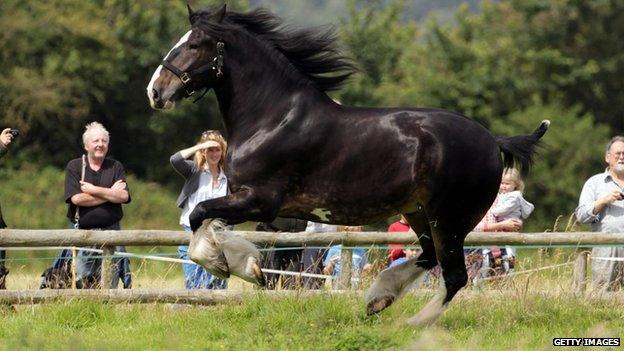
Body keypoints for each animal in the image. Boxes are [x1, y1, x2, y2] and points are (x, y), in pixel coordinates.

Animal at [146, 4, 544, 326]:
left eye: (195, 44)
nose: (155, 92)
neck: (272, 117)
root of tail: (493, 141)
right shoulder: (241, 196)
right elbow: (209, 222)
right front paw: (247, 265)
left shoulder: (259, 200)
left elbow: (199, 217)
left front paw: (236, 267)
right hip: (419, 213)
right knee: (430, 257)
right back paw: (378, 300)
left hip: (448, 218)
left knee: (455, 275)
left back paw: (412, 323)